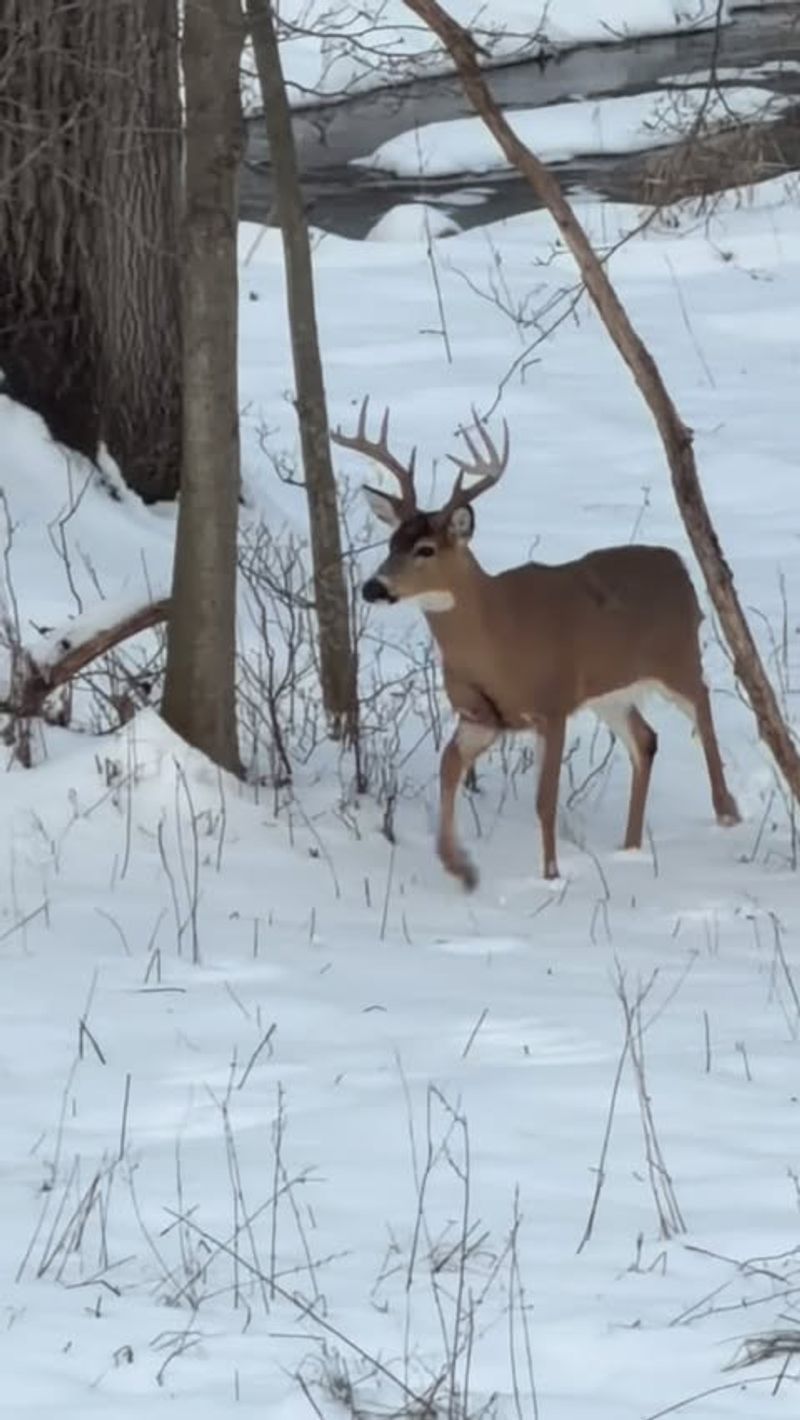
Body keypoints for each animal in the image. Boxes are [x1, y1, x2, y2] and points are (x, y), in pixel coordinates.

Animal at [331, 398, 740, 889]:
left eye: (426, 549)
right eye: (392, 542)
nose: (373, 587)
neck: (498, 638)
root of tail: (681, 566)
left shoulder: (553, 702)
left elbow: (544, 798)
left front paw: (550, 874)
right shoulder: (480, 715)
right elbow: (448, 768)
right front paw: (460, 867)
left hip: (676, 656)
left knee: (703, 702)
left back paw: (727, 812)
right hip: (610, 692)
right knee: (645, 739)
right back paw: (629, 847)